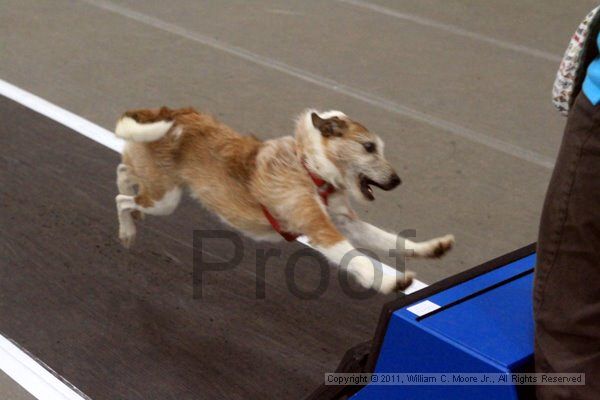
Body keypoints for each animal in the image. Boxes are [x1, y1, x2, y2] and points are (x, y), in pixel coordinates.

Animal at [113, 106, 454, 294]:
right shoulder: (319, 227)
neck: (309, 167)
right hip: (164, 199)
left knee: (123, 171)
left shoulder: (346, 222)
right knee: (122, 198)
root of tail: (170, 112)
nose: (397, 181)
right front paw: (390, 282)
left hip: (159, 188)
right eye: (369, 147)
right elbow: (358, 258)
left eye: (378, 148)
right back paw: (127, 231)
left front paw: (432, 247)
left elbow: (391, 240)